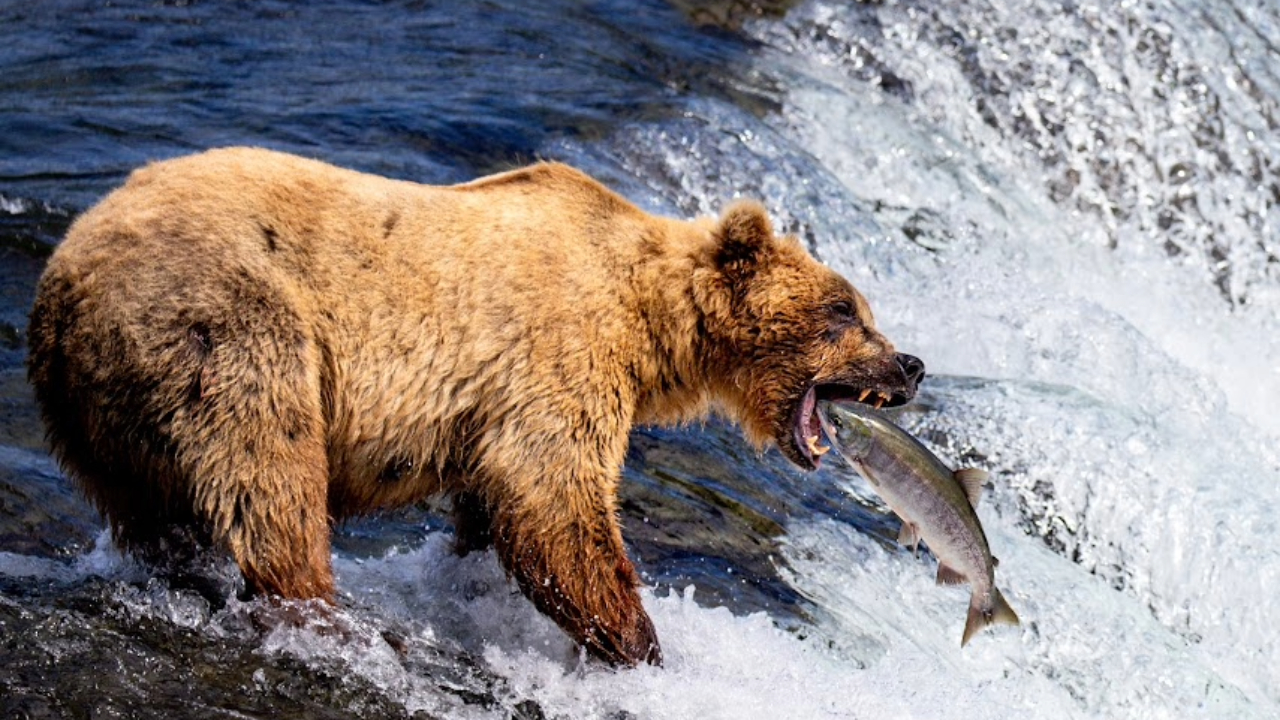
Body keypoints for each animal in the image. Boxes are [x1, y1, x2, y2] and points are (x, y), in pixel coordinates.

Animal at [26, 147, 924, 667]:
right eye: (844, 310)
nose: (911, 365)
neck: (651, 324)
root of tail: (66, 273)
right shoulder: (558, 348)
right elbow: (553, 501)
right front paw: (641, 645)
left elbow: (497, 509)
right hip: (225, 318)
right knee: (269, 470)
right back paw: (324, 613)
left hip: (98, 408)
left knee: (151, 509)